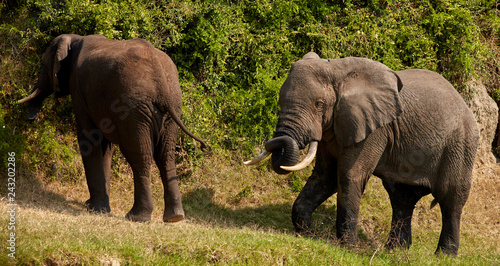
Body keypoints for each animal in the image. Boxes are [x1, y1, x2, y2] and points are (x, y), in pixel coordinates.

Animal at [18, 34, 208, 223]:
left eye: (43, 64)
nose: (31, 119)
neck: (74, 38)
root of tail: (161, 84)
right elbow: (105, 147)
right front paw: (95, 206)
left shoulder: (78, 89)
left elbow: (90, 139)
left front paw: (96, 209)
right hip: (172, 108)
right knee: (165, 155)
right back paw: (174, 217)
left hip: (134, 109)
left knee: (139, 155)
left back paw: (137, 216)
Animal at [244, 52, 478, 256]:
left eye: (319, 104)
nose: (275, 143)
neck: (336, 70)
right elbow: (325, 176)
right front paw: (308, 236)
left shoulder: (374, 129)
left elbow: (349, 175)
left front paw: (347, 248)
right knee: (401, 197)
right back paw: (395, 252)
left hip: (460, 145)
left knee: (451, 199)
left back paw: (444, 256)